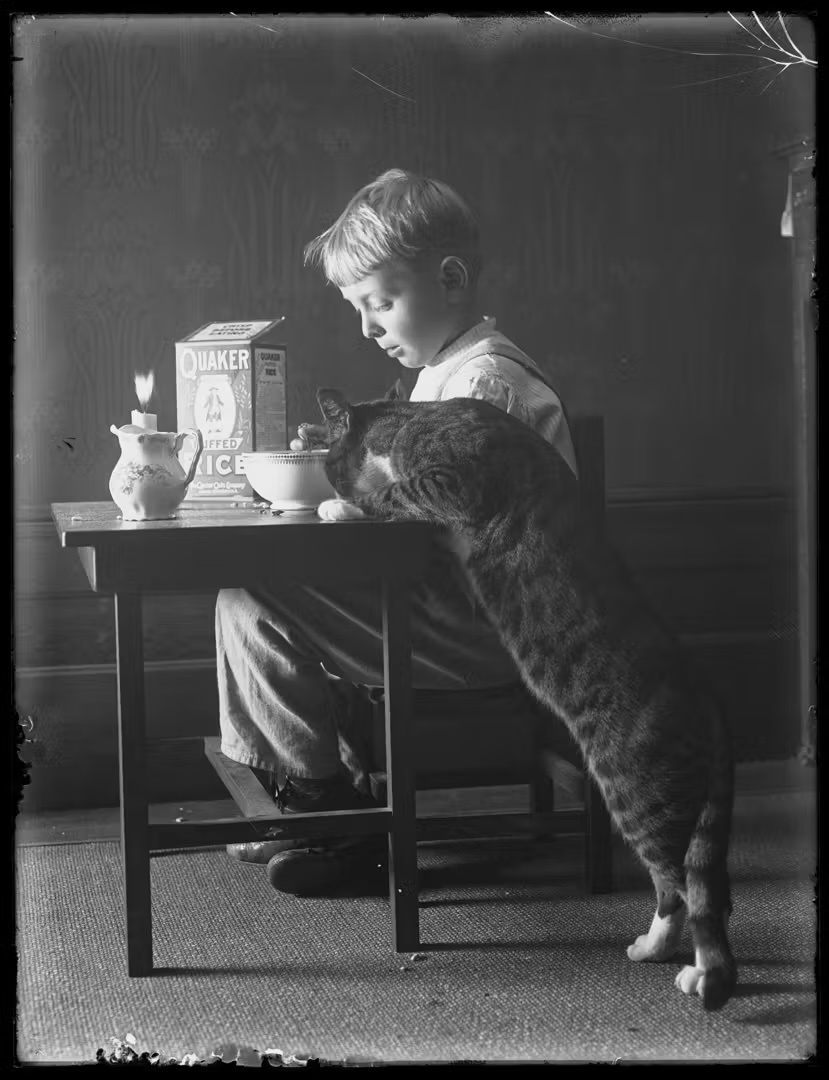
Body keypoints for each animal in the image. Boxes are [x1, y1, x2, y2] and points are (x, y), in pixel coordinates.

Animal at [315, 382, 742, 1010]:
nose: (324, 478)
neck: (409, 421)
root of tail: (707, 693)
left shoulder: (452, 477)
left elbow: (396, 492)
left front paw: (340, 506)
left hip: (634, 788)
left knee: (683, 886)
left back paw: (681, 961)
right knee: (698, 887)